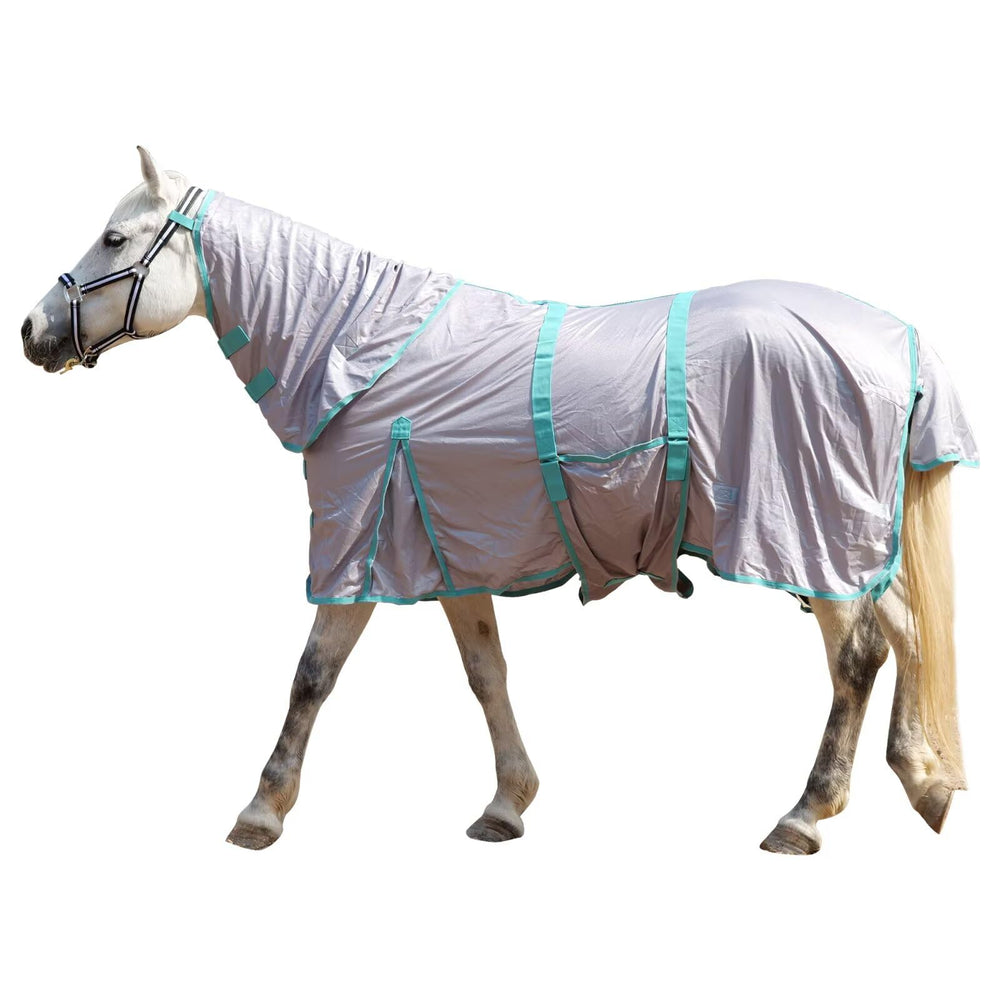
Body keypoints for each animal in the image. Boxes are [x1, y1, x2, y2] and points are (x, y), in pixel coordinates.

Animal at [21, 147, 978, 854]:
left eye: (114, 239)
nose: (32, 331)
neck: (365, 355)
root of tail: (902, 343)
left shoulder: (360, 551)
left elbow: (312, 674)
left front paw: (262, 810)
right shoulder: (451, 552)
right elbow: (486, 675)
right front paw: (507, 805)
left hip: (811, 539)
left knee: (858, 656)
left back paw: (805, 814)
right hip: (847, 544)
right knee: (908, 632)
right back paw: (923, 780)